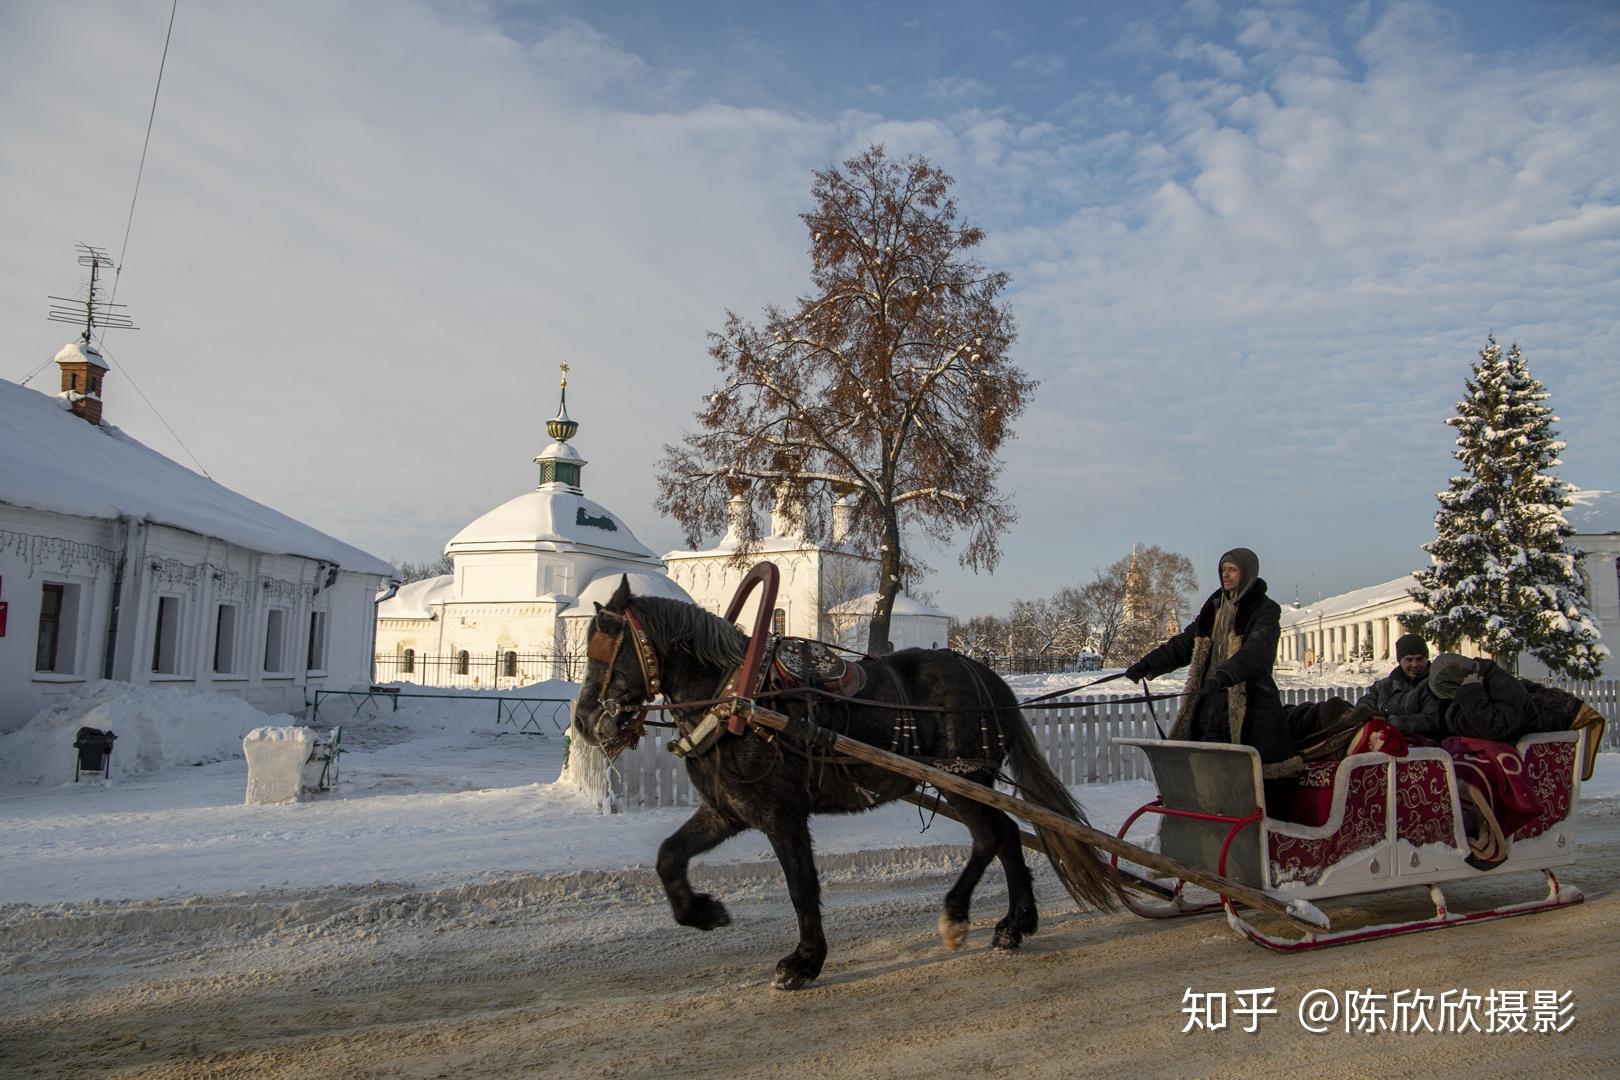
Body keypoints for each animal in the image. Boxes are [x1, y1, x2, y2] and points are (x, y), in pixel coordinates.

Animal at [576, 579, 1121, 990]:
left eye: (611, 649)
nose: (584, 720)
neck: (737, 698)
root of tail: (986, 675)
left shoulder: (781, 814)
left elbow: (801, 885)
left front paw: (804, 961)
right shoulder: (727, 810)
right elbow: (669, 856)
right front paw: (703, 911)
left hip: (959, 780)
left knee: (990, 836)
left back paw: (957, 916)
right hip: (969, 782)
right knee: (1007, 834)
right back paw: (1014, 925)